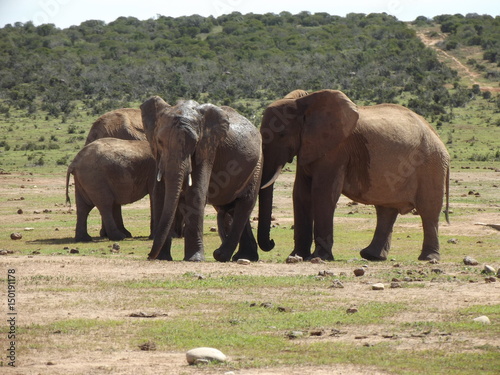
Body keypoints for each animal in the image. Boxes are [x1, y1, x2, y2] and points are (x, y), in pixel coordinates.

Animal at [141, 95, 264, 262]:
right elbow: (160, 194)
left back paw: (221, 255)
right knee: (231, 206)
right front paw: (162, 258)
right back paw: (243, 256)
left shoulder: (208, 147)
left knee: (245, 204)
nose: (149, 256)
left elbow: (196, 192)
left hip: (258, 163)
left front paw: (194, 259)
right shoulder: (158, 154)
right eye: (159, 141)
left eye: (193, 143)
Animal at [258, 89, 450, 262]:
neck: (305, 102)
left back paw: (428, 258)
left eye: (282, 134)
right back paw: (371, 256)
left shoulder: (336, 149)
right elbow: (300, 193)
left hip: (431, 165)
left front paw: (319, 257)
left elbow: (323, 192)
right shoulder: (309, 147)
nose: (272, 242)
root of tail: (438, 138)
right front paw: (296, 256)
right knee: (386, 210)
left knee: (428, 211)